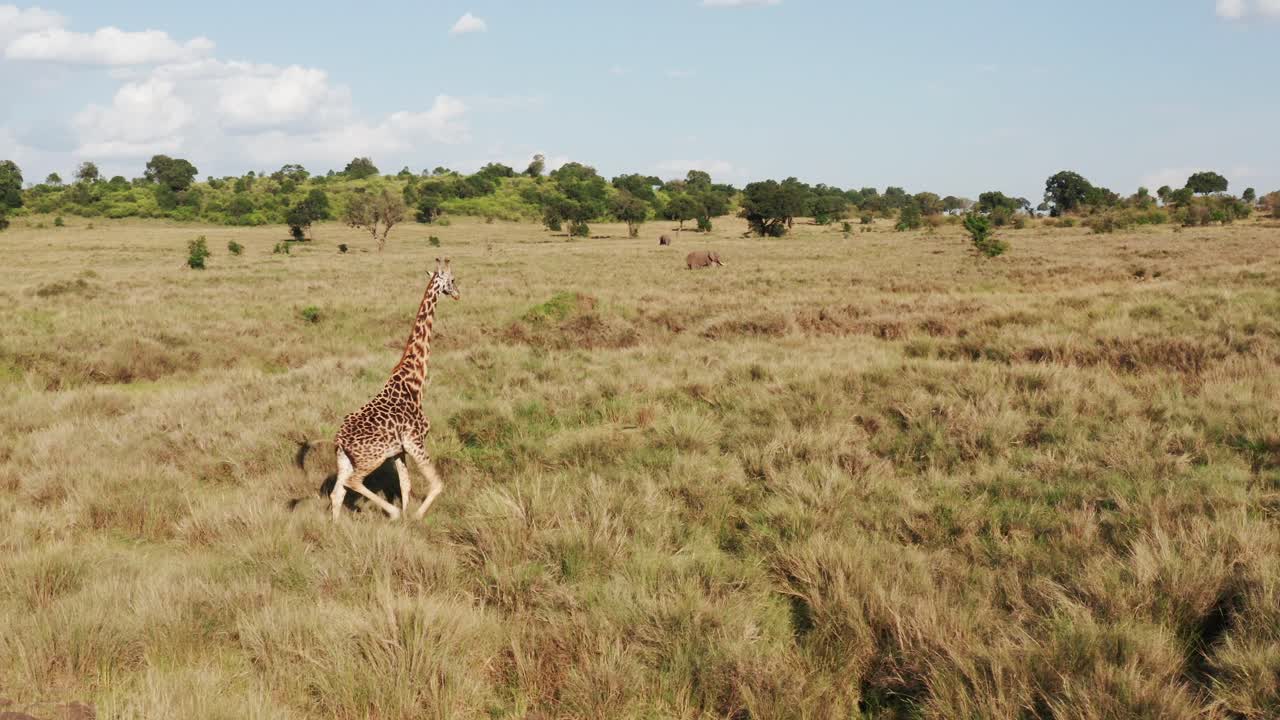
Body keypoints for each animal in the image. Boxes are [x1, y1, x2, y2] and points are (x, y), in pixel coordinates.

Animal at [330, 258, 460, 520]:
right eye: (452, 279)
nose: (458, 294)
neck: (414, 383)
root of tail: (339, 439)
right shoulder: (415, 442)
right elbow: (437, 484)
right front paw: (415, 517)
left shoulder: (399, 450)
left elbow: (405, 484)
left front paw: (408, 517)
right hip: (372, 458)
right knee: (352, 482)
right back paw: (393, 513)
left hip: (345, 459)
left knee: (336, 493)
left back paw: (335, 527)